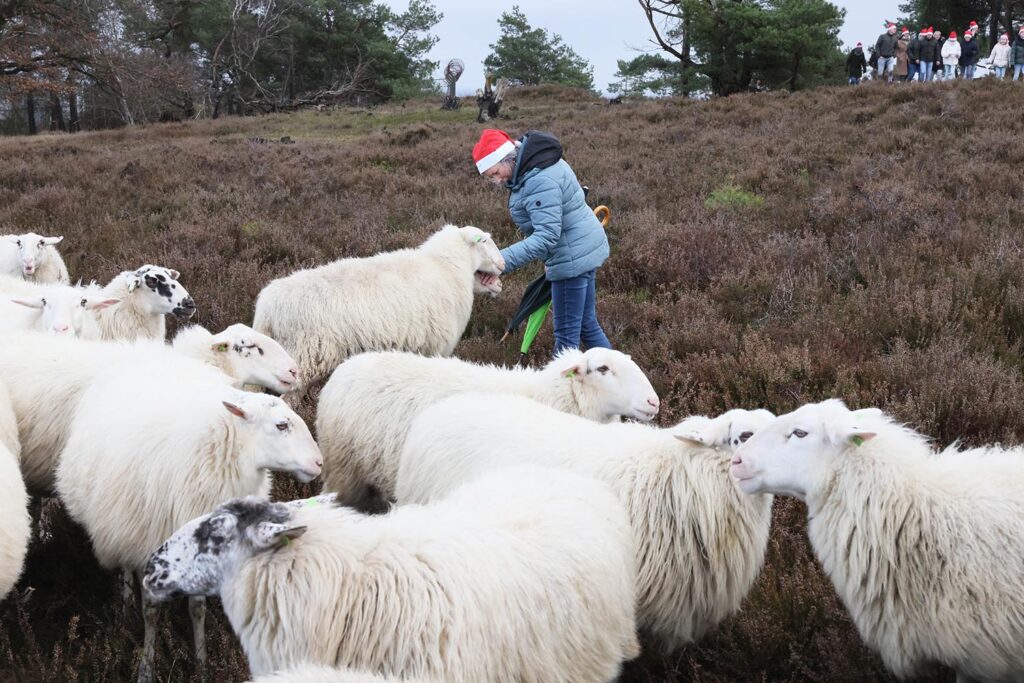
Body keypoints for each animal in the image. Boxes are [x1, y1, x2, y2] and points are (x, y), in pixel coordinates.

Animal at [57, 362, 319, 683]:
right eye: (282, 425)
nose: (319, 463)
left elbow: (197, 609)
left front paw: (202, 665)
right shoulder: (147, 543)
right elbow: (151, 611)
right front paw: (146, 669)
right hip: (121, 519)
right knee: (123, 563)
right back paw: (126, 600)